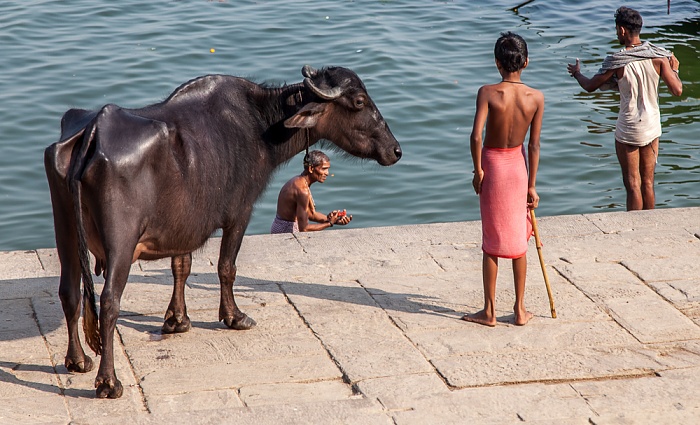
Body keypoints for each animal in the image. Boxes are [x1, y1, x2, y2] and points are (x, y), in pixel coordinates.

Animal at [44, 65, 402, 398]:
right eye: (359, 101)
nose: (396, 150)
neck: (259, 125)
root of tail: (94, 131)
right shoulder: (240, 213)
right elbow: (226, 267)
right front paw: (234, 316)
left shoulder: (185, 222)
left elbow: (182, 266)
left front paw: (177, 320)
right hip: (121, 241)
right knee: (109, 303)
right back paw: (108, 381)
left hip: (65, 230)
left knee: (69, 291)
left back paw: (77, 360)